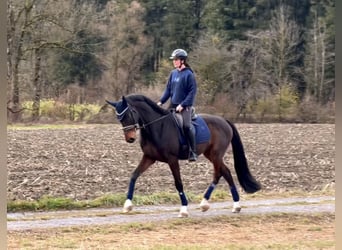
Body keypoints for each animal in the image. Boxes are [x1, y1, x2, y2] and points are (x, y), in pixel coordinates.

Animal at [107, 94, 262, 217]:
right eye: (119, 118)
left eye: (129, 114)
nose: (130, 138)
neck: (157, 127)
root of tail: (224, 121)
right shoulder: (149, 158)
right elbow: (134, 176)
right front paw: (127, 205)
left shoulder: (172, 159)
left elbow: (178, 183)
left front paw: (183, 210)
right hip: (210, 154)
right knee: (226, 172)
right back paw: (227, 205)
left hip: (216, 155)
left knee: (219, 174)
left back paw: (217, 204)